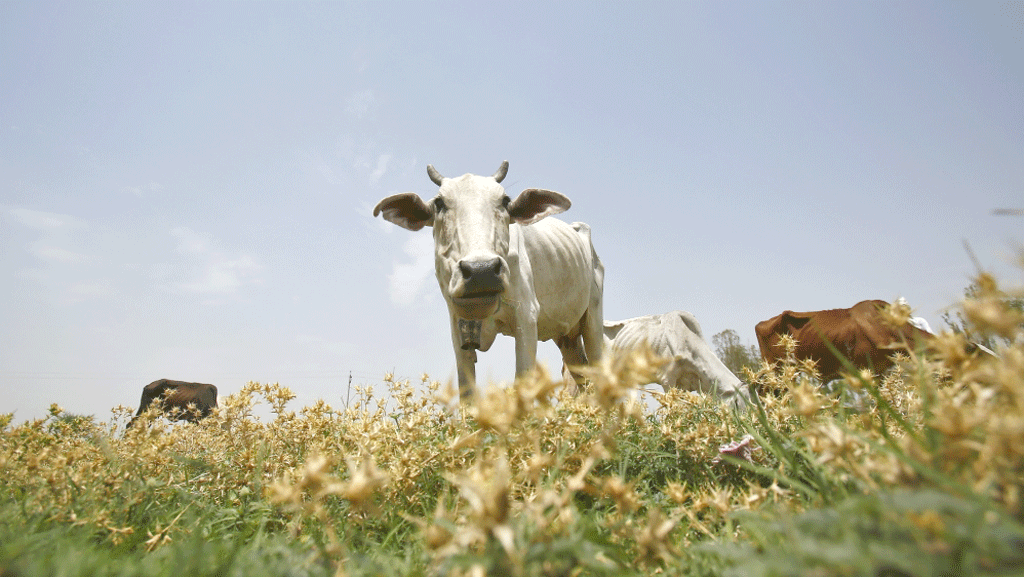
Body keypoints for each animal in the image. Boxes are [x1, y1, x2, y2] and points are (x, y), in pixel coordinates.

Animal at [372, 159, 602, 399]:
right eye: (439, 203)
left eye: (505, 201)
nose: (481, 271)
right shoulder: (458, 328)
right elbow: (467, 393)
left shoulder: (526, 317)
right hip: (567, 337)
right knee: (583, 376)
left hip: (593, 318)